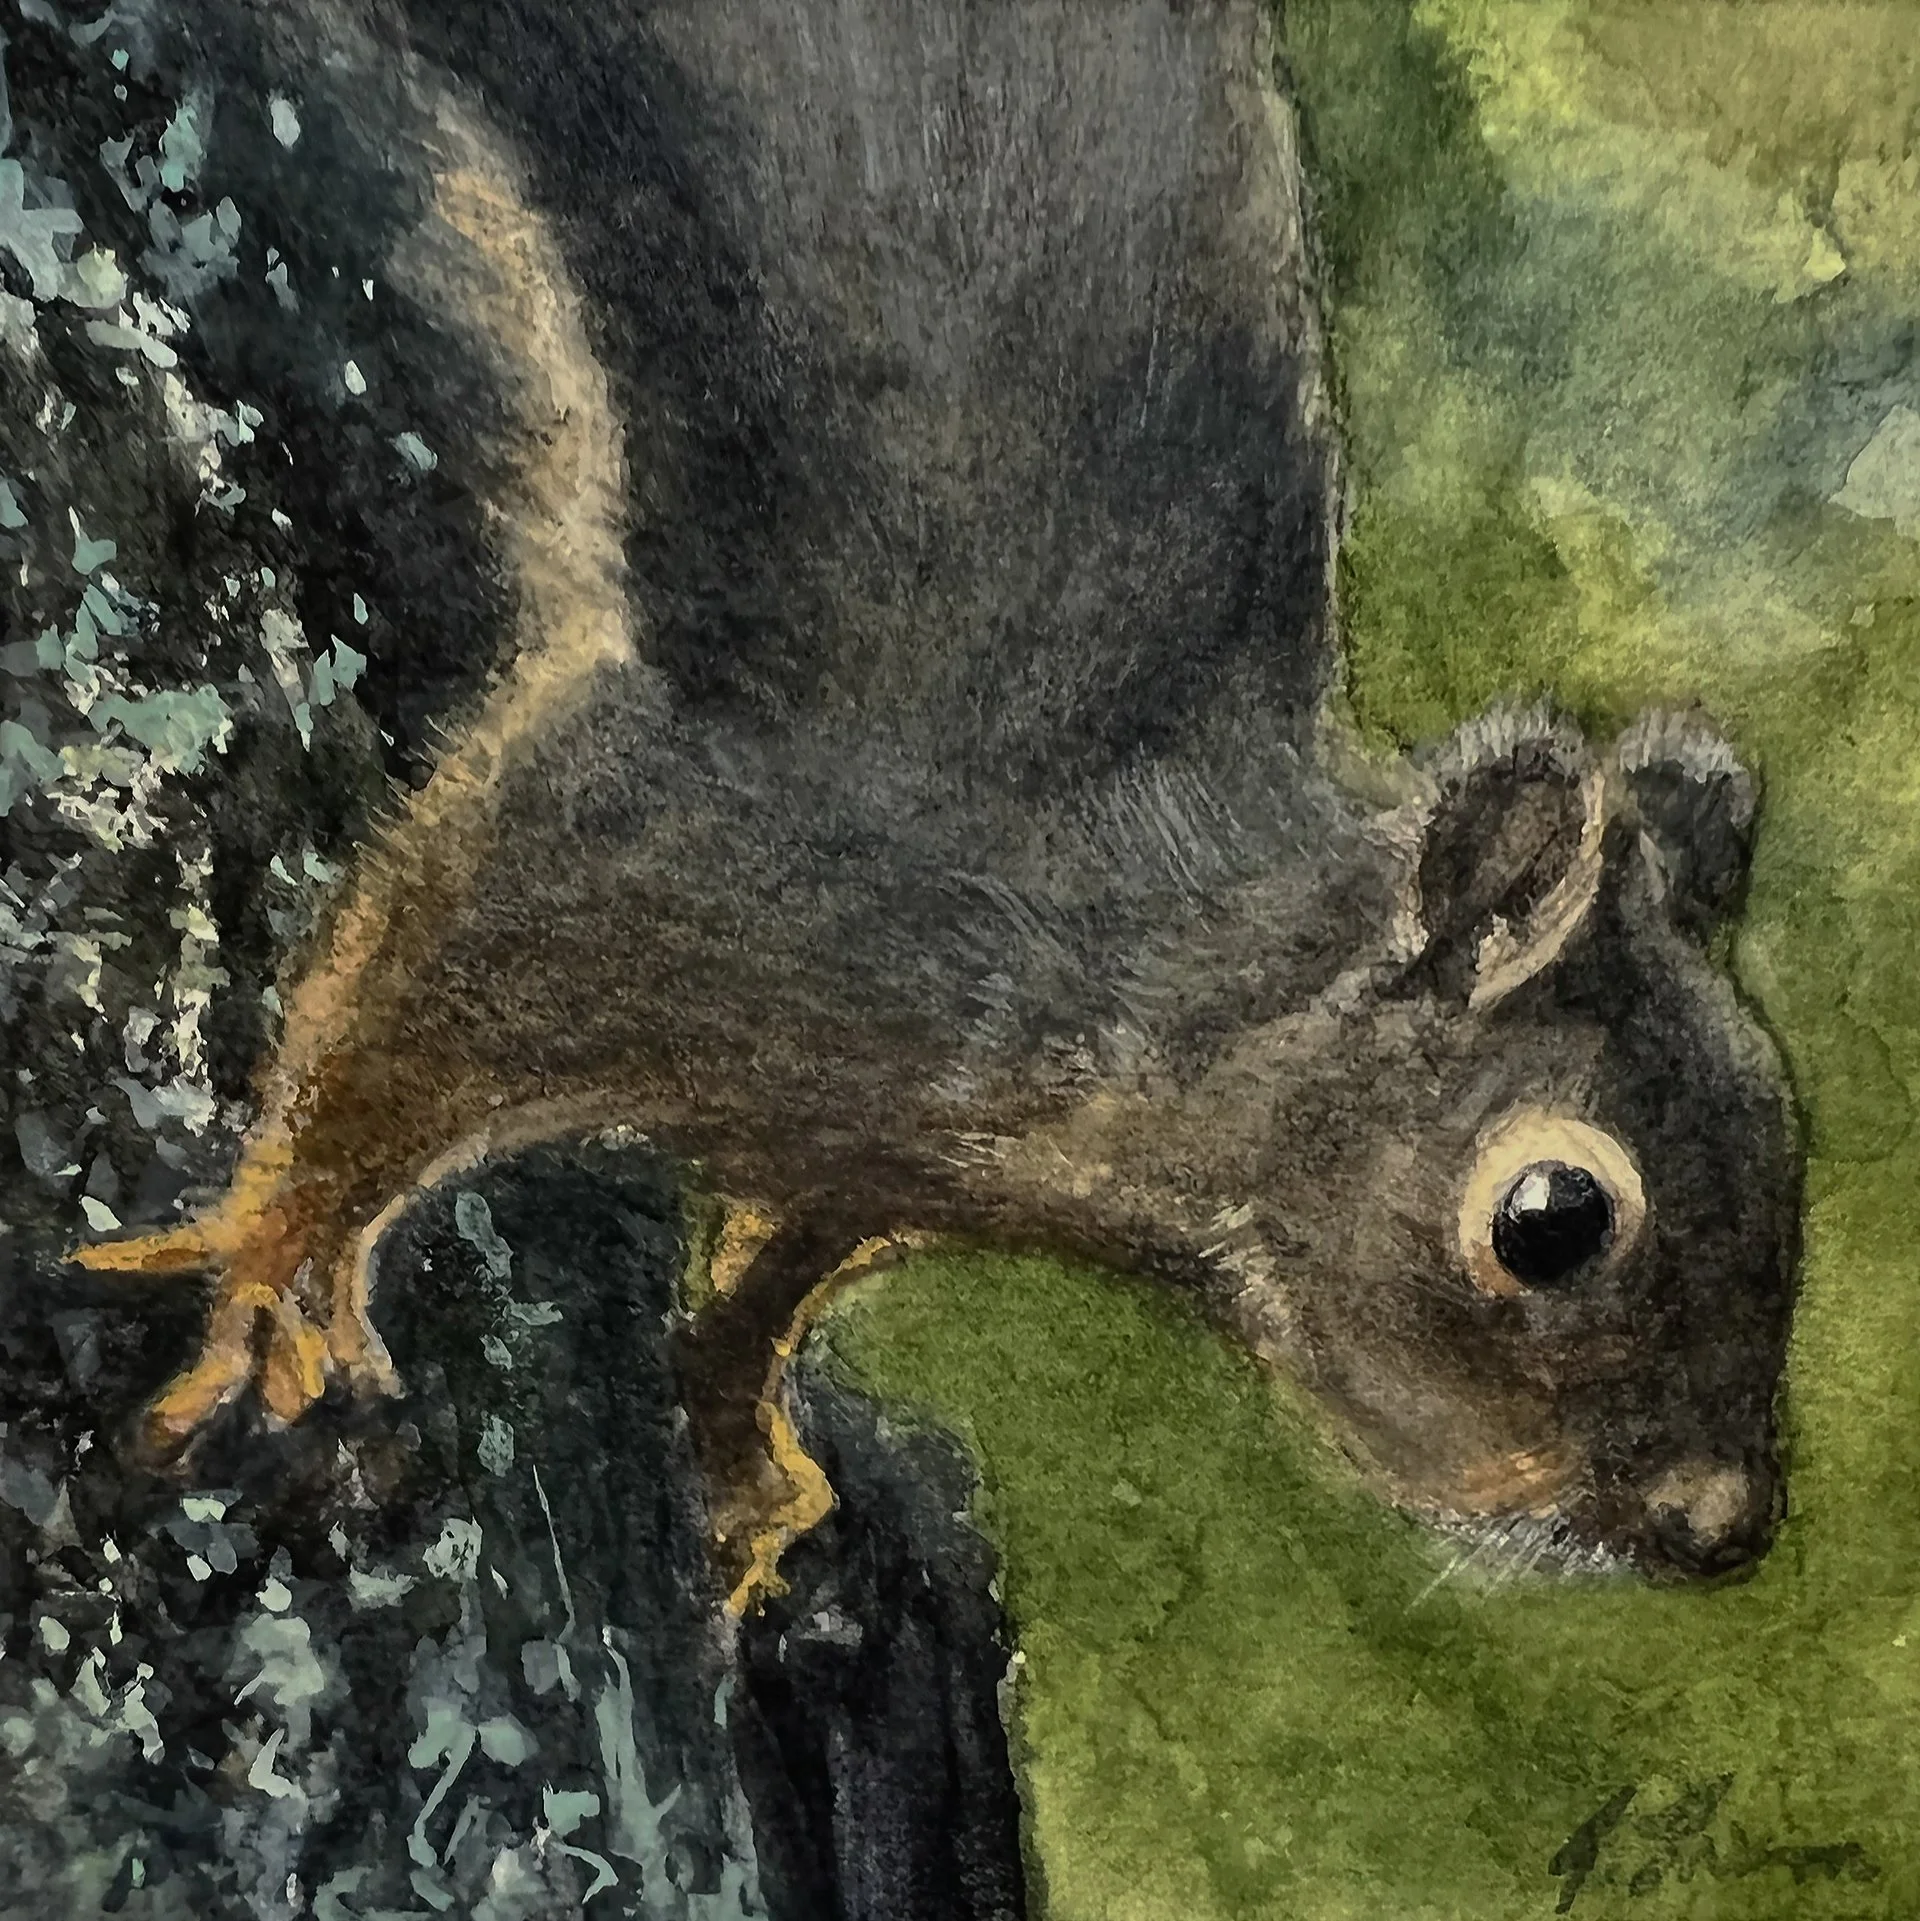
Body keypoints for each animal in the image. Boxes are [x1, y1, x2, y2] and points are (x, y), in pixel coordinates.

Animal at [9, 0, 1800, 1609]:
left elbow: (781, 1261)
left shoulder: (870, 1153)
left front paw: (741, 1440)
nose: (1724, 1526)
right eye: (1553, 1219)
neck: (1145, 954)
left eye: (1792, 1138)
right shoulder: (675, 852)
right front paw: (277, 1264)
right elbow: (404, 1009)